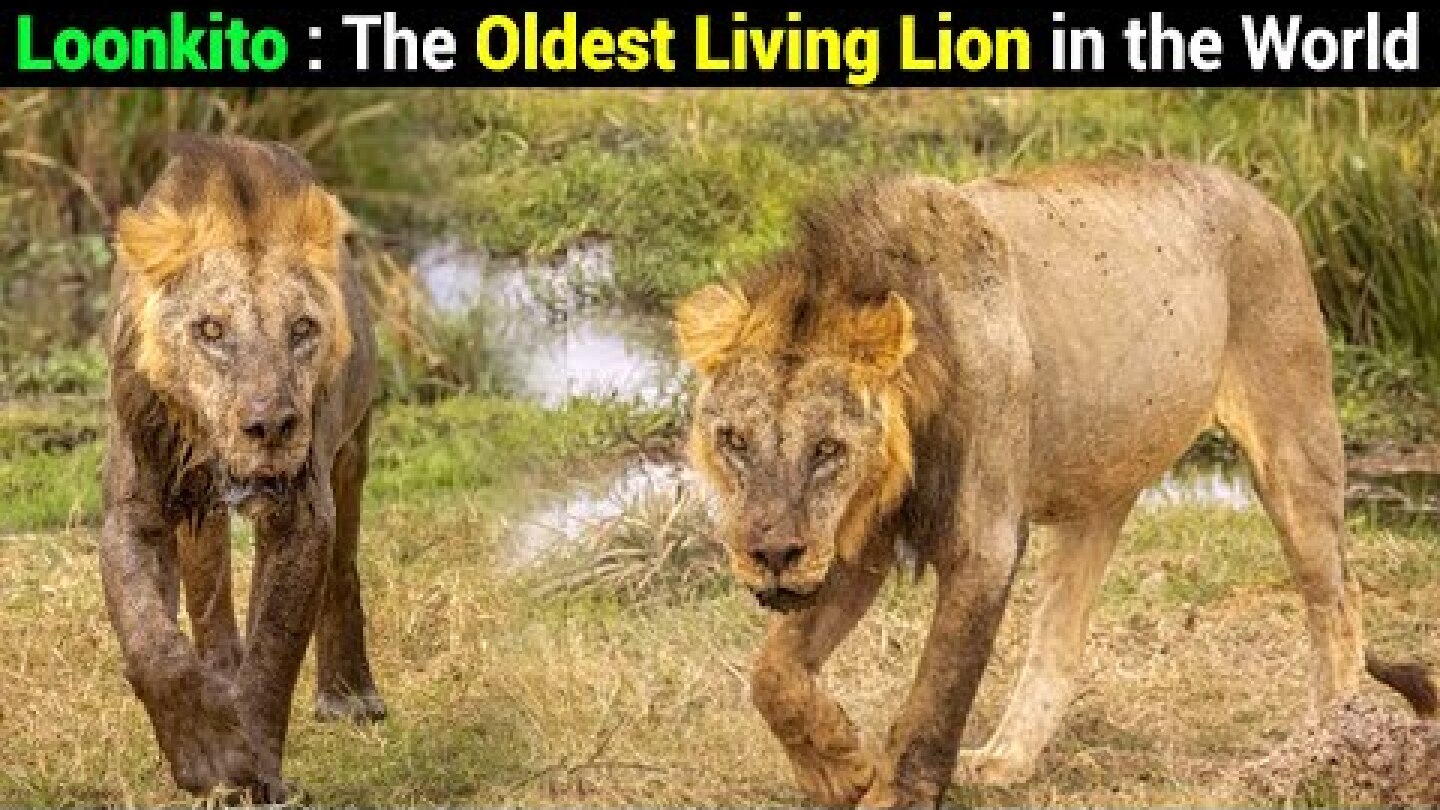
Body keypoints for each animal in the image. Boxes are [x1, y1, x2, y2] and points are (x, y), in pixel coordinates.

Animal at [100, 135, 388, 795]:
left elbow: (273, 654)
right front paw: (201, 751)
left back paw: (348, 695)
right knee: (208, 593)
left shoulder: (302, 512)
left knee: (343, 569)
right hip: (198, 512)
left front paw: (253, 772)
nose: (271, 427)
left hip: (351, 449)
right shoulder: (133, 510)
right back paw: (219, 675)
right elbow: (153, 643)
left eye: (302, 329)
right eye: (211, 329)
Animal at [673, 160, 1440, 801]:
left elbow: (934, 701)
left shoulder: (983, 543)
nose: (772, 554)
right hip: (1097, 493)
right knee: (1060, 638)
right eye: (734, 441)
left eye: (828, 448)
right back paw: (1005, 760)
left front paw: (891, 791)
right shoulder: (853, 539)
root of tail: (1262, 198)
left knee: (1336, 599)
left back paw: (1329, 744)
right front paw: (839, 767)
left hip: (1296, 441)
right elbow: (775, 675)